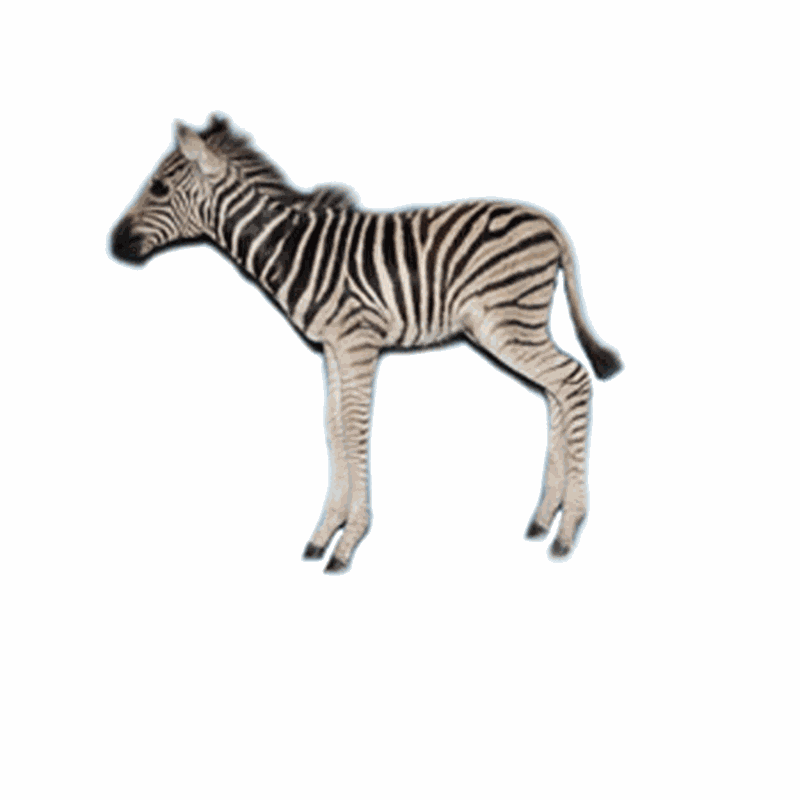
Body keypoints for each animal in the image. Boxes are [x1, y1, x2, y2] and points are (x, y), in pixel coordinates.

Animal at [110, 114, 622, 573]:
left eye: (158, 188)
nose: (114, 244)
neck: (295, 252)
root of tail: (547, 223)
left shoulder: (358, 340)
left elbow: (355, 427)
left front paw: (347, 543)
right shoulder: (332, 348)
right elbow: (333, 426)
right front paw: (323, 533)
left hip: (507, 322)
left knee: (573, 380)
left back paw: (567, 530)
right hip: (519, 326)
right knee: (556, 390)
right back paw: (544, 518)